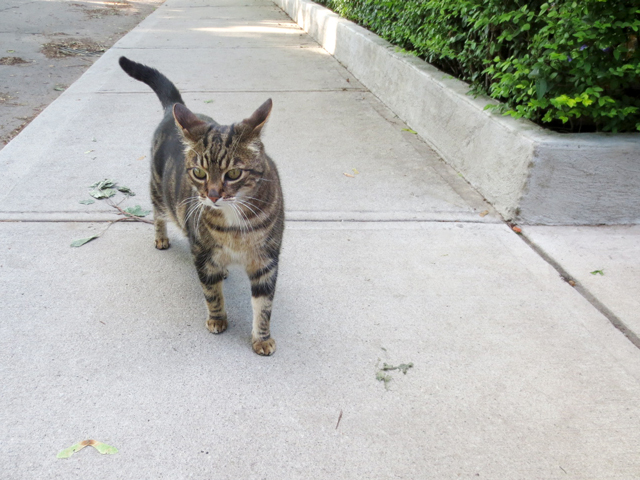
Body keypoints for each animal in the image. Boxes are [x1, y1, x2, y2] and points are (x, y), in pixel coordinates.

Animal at [119, 56, 285, 356]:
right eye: (199, 172)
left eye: (233, 173)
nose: (213, 195)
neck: (235, 225)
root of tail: (174, 106)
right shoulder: (203, 253)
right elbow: (211, 293)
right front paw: (217, 319)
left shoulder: (266, 260)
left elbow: (264, 306)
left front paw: (262, 338)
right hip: (158, 191)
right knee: (158, 215)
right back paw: (161, 238)